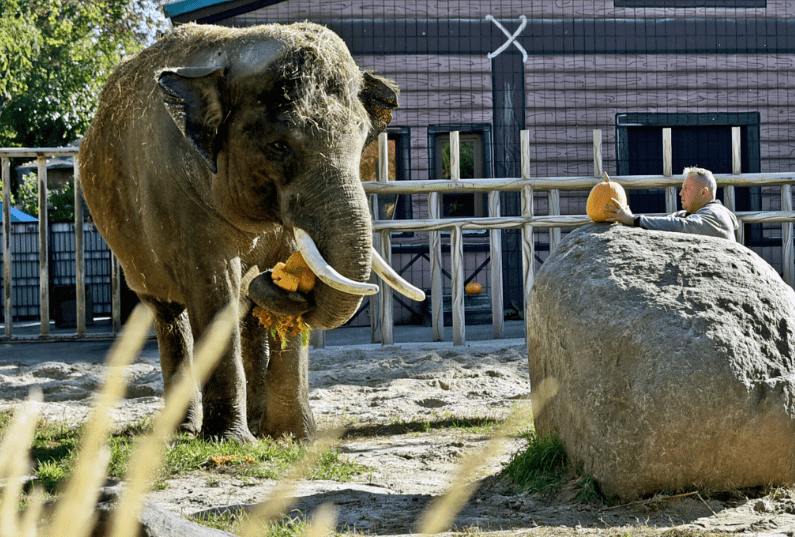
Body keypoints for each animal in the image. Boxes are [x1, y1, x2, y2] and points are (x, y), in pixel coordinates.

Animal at [79, 22, 422, 440]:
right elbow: (213, 288)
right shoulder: (177, 193)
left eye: (361, 142)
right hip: (133, 253)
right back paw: (183, 432)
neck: (231, 54)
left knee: (246, 316)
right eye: (278, 146)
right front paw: (230, 439)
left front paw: (294, 437)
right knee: (170, 316)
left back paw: (257, 424)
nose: (270, 277)